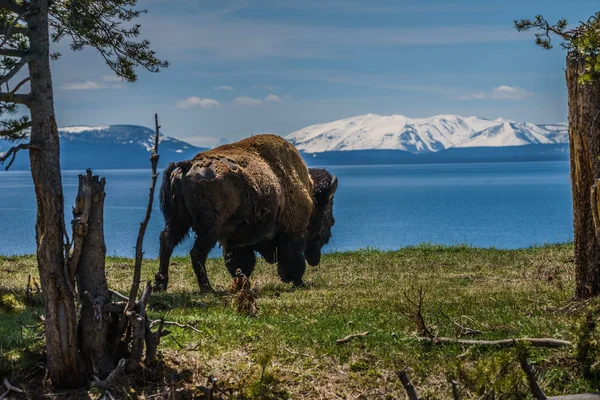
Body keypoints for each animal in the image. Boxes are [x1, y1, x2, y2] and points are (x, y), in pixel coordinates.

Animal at [155, 133, 338, 292]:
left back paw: (161, 284)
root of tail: (187, 165)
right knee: (196, 253)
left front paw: (243, 283)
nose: (329, 234)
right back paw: (207, 288)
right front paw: (299, 282)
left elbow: (242, 264)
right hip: (209, 229)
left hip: (179, 220)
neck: (308, 191)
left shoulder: (237, 242)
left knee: (167, 242)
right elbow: (293, 262)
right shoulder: (291, 235)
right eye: (327, 212)